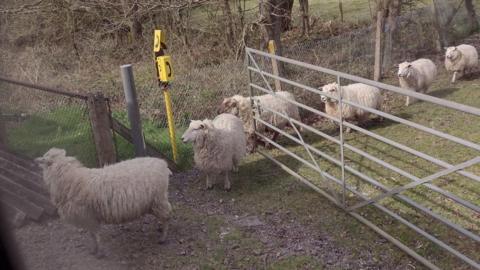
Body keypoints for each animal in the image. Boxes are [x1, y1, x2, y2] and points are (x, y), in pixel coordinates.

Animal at [35, 148, 172, 258]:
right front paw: (94, 250)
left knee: (166, 216)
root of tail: (162, 163)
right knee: (165, 215)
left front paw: (99, 252)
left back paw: (163, 237)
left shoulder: (89, 217)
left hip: (158, 199)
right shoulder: (87, 218)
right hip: (155, 202)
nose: (36, 160)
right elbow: (91, 235)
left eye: (45, 160)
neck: (71, 179)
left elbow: (95, 235)